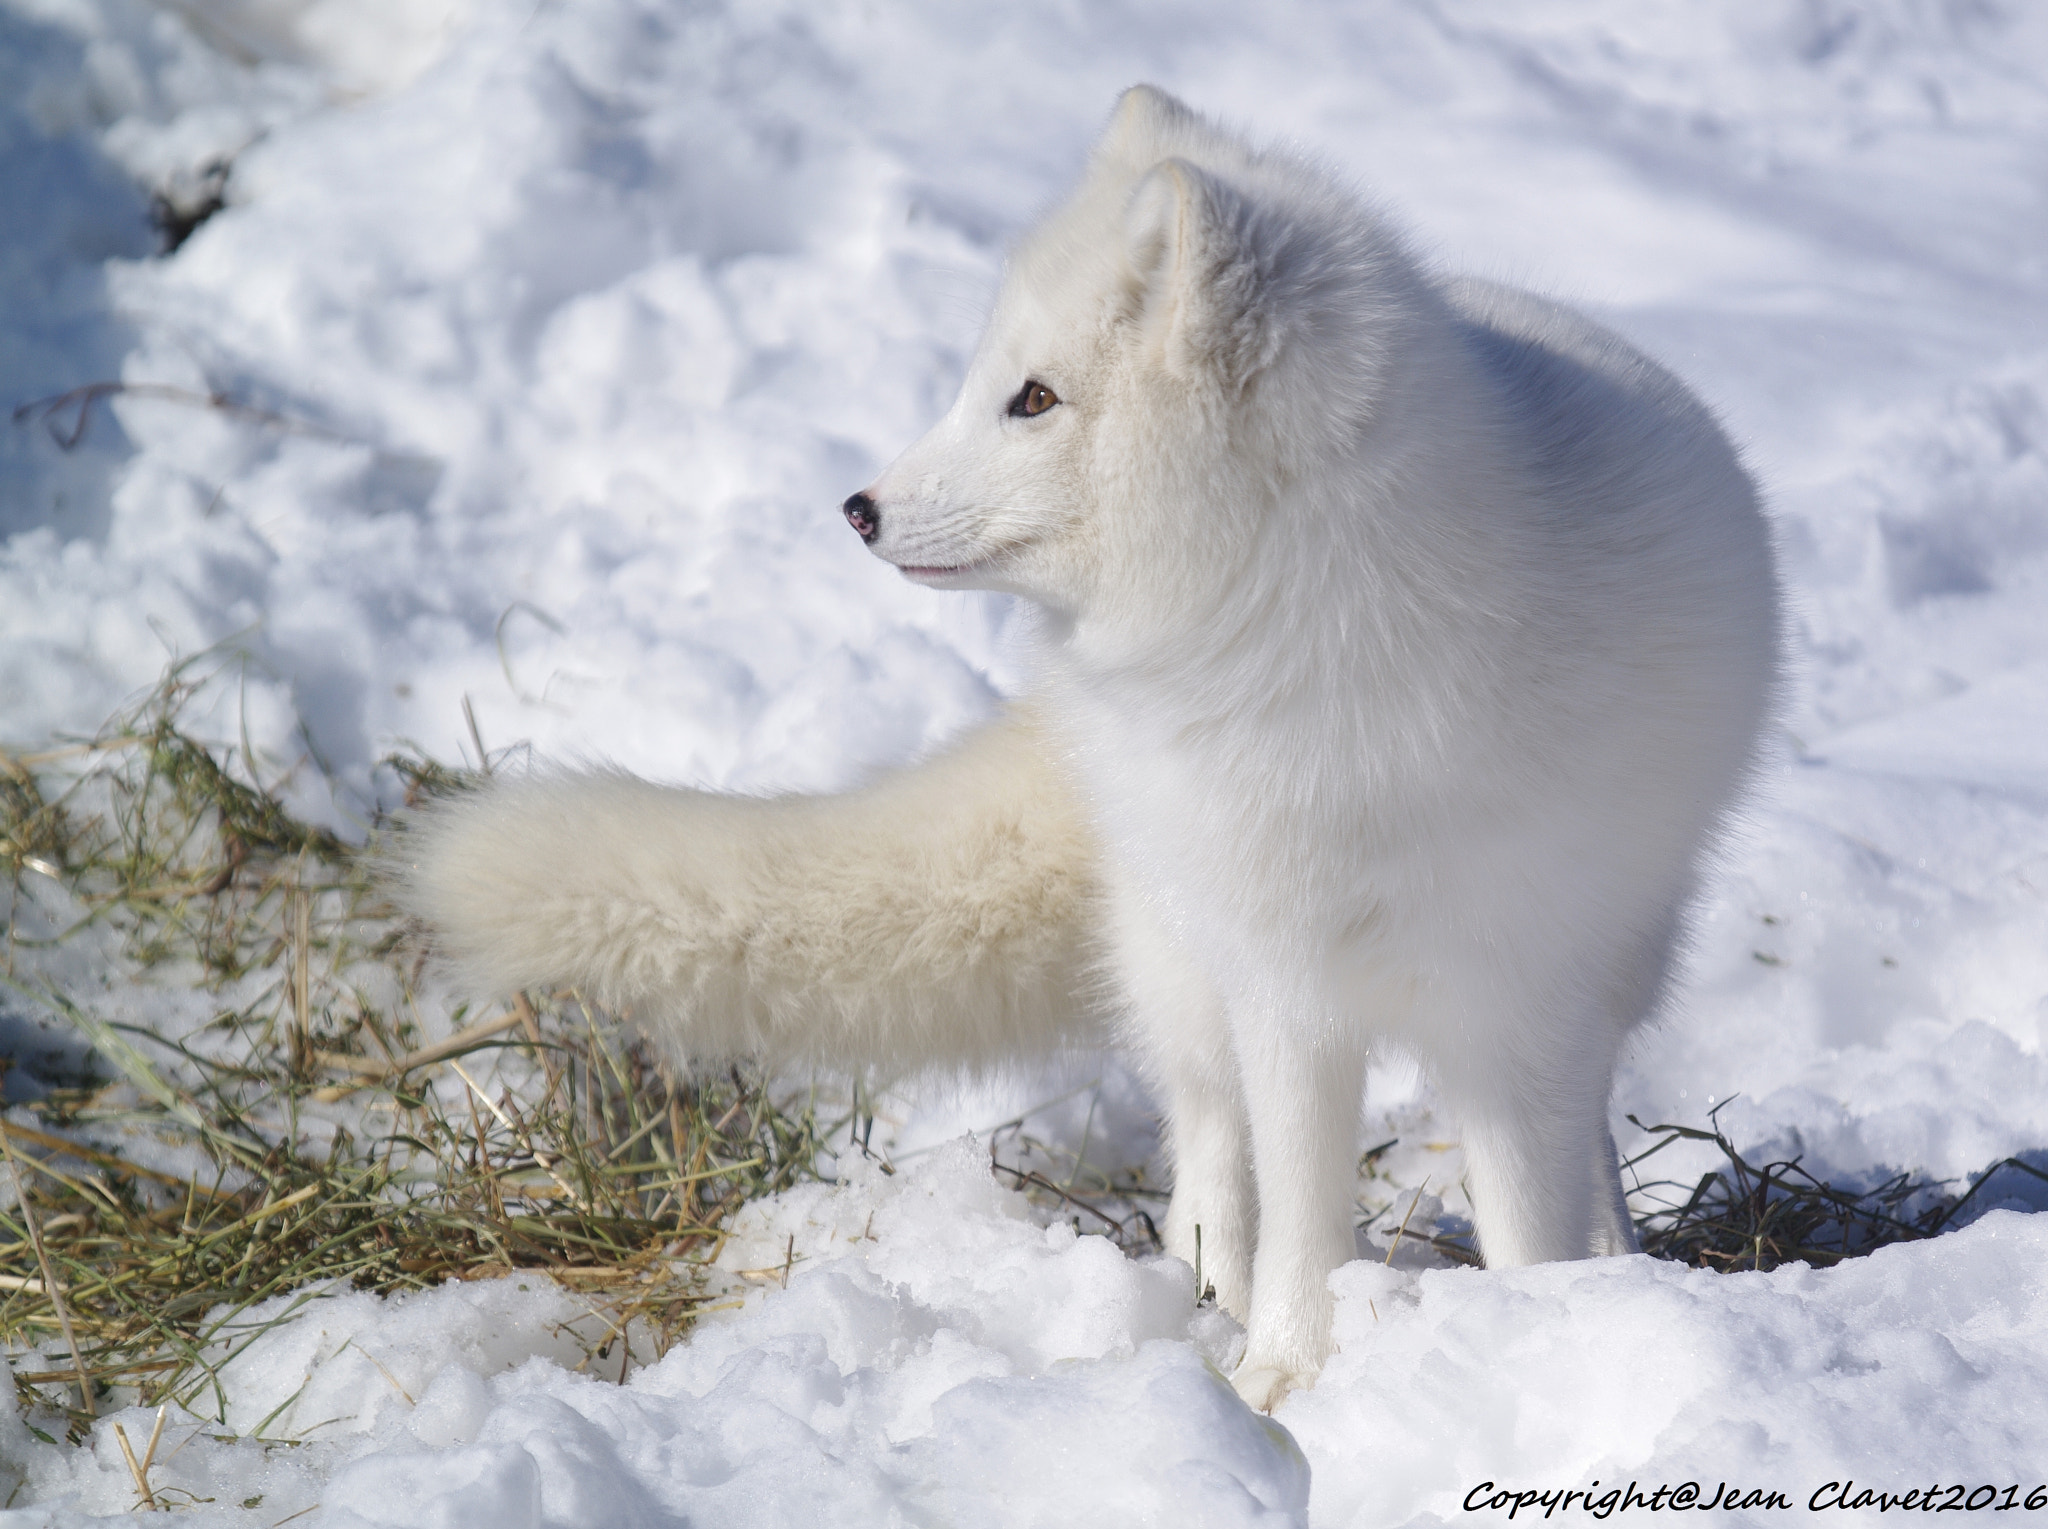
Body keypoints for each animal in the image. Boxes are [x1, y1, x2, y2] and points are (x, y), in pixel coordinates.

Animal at [403, 89, 1777, 1408]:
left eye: (1034, 398)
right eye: (984, 381)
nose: (856, 508)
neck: (1327, 670)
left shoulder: (1517, 996)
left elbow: (1525, 1207)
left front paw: (1542, 1329)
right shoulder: (1285, 981)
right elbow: (1300, 1195)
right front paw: (1285, 1370)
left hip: (1615, 963)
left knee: (1577, 1119)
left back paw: (1610, 1254)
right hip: (1179, 939)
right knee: (1209, 1120)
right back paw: (1206, 1277)